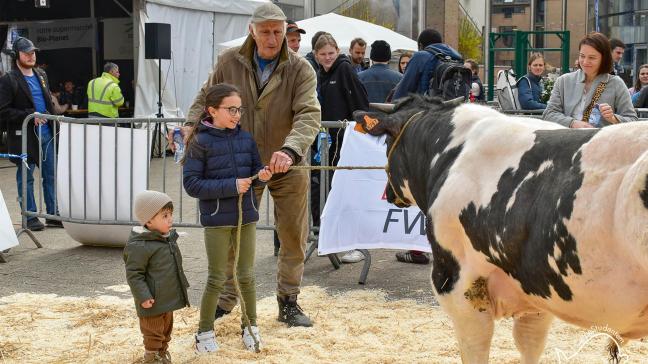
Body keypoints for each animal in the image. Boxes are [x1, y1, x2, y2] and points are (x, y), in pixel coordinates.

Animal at [352, 95, 648, 362]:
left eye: (387, 142)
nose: (388, 193)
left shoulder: (459, 286)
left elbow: (476, 348)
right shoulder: (538, 288)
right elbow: (529, 344)